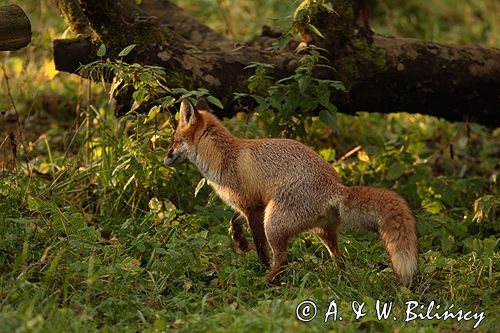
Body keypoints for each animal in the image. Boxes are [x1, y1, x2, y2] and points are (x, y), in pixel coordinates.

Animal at [165, 99, 418, 286]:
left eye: (173, 140)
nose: (164, 159)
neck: (226, 156)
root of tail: (336, 187)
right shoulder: (255, 204)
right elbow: (234, 221)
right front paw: (239, 240)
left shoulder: (253, 208)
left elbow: (260, 247)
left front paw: (257, 263)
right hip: (321, 232)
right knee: (340, 260)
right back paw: (341, 278)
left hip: (273, 224)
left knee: (283, 260)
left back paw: (265, 283)